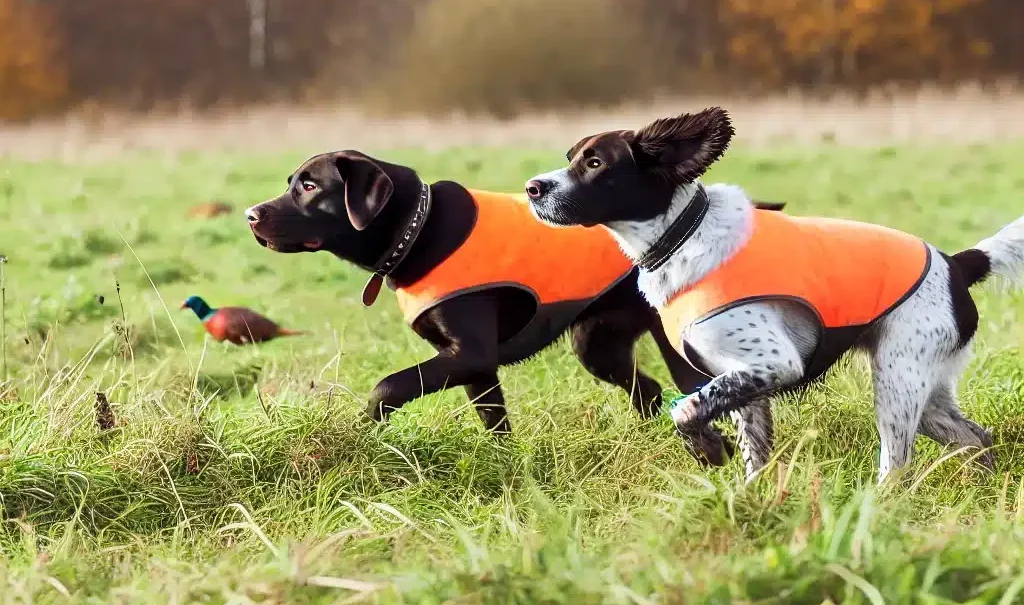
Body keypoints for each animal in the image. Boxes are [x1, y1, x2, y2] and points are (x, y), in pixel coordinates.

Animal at [524, 106, 1024, 485]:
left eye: (595, 163)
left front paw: (709, 449)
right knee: (975, 437)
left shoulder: (774, 363)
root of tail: (957, 262)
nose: (532, 188)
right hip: (926, 388)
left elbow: (686, 411)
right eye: (572, 156)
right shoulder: (743, 380)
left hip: (898, 380)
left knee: (897, 465)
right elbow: (752, 455)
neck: (682, 236)